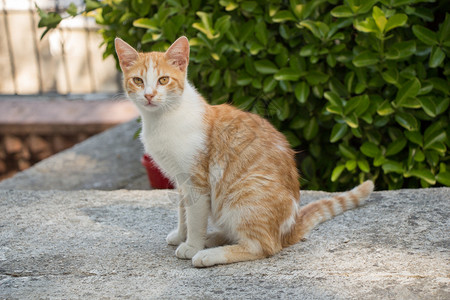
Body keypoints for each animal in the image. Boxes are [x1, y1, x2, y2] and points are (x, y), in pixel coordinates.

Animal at [114, 35, 374, 268]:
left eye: (163, 80)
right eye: (138, 81)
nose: (149, 95)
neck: (162, 119)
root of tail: (290, 228)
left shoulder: (197, 181)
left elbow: (195, 218)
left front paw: (192, 244)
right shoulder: (180, 179)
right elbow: (182, 212)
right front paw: (181, 235)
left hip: (244, 195)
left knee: (263, 246)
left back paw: (208, 253)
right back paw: (213, 239)